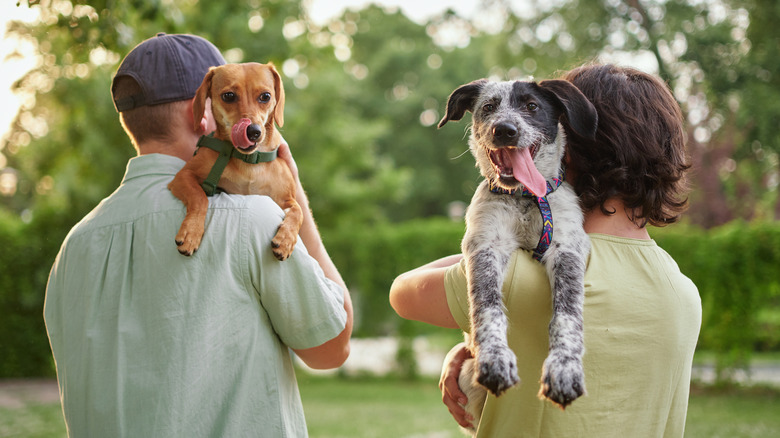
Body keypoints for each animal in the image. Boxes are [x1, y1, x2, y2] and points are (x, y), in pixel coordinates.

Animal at [168, 61, 302, 260]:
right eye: (229, 96)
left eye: (266, 96)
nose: (253, 131)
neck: (249, 161)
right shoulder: (183, 176)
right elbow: (199, 197)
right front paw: (191, 232)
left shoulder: (286, 198)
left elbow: (298, 211)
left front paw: (286, 239)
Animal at [438, 78, 596, 432]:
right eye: (488, 107)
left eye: (532, 106)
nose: (505, 130)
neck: (525, 198)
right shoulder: (485, 246)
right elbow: (488, 308)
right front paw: (495, 360)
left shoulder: (567, 248)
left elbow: (568, 315)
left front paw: (564, 370)